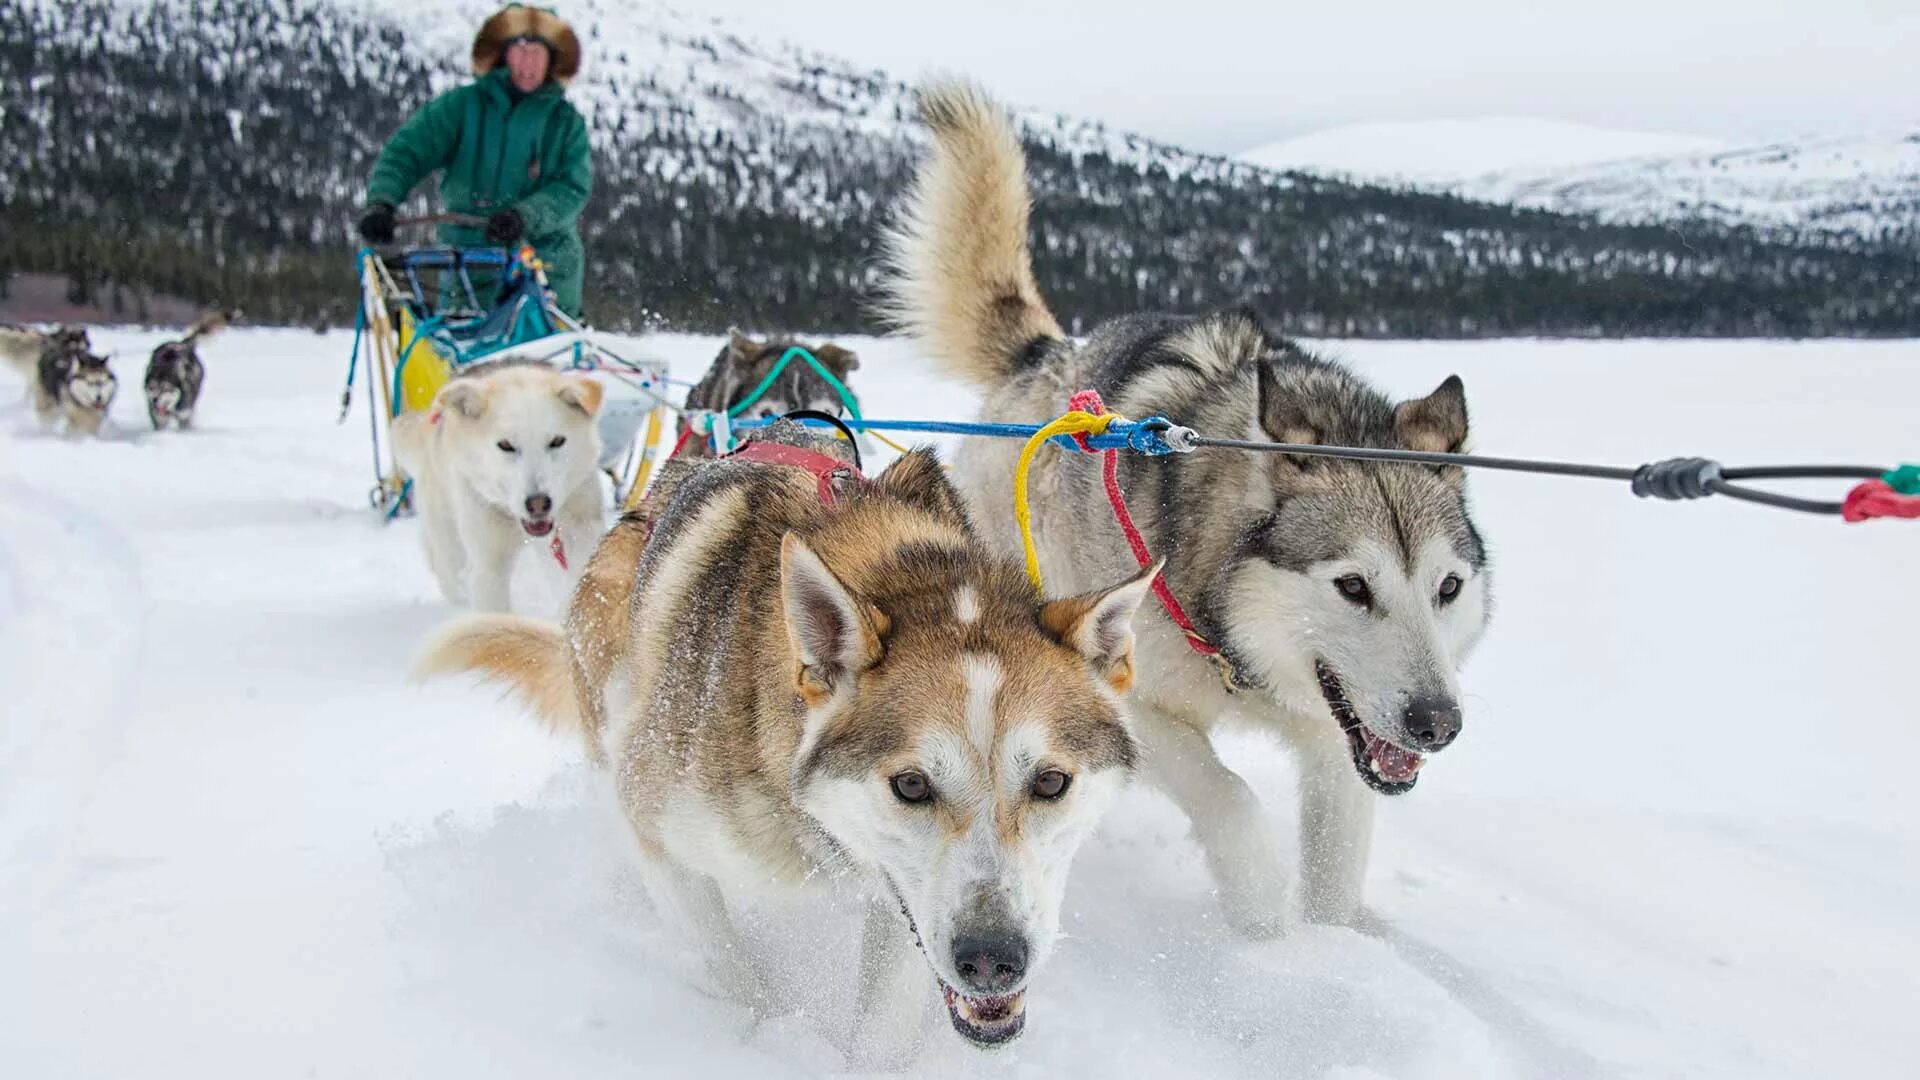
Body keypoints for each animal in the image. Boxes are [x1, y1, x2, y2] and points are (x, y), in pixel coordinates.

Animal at [385, 359, 602, 611]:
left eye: (557, 441)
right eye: (506, 445)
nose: (538, 504)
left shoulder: (580, 538)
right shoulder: (489, 568)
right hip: (449, 546)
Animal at [420, 420, 1152, 1053]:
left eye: (1051, 781)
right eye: (911, 785)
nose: (993, 960)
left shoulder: (903, 903)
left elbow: (881, 1029)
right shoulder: (661, 837)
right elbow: (735, 978)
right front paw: (760, 1039)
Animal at [879, 79, 1489, 930]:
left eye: (1448, 588)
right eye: (1353, 586)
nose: (1438, 723)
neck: (1241, 648)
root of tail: (1049, 358)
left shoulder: (1340, 739)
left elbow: (1335, 871)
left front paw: (1330, 949)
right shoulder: (1132, 704)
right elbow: (1227, 798)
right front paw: (1264, 918)